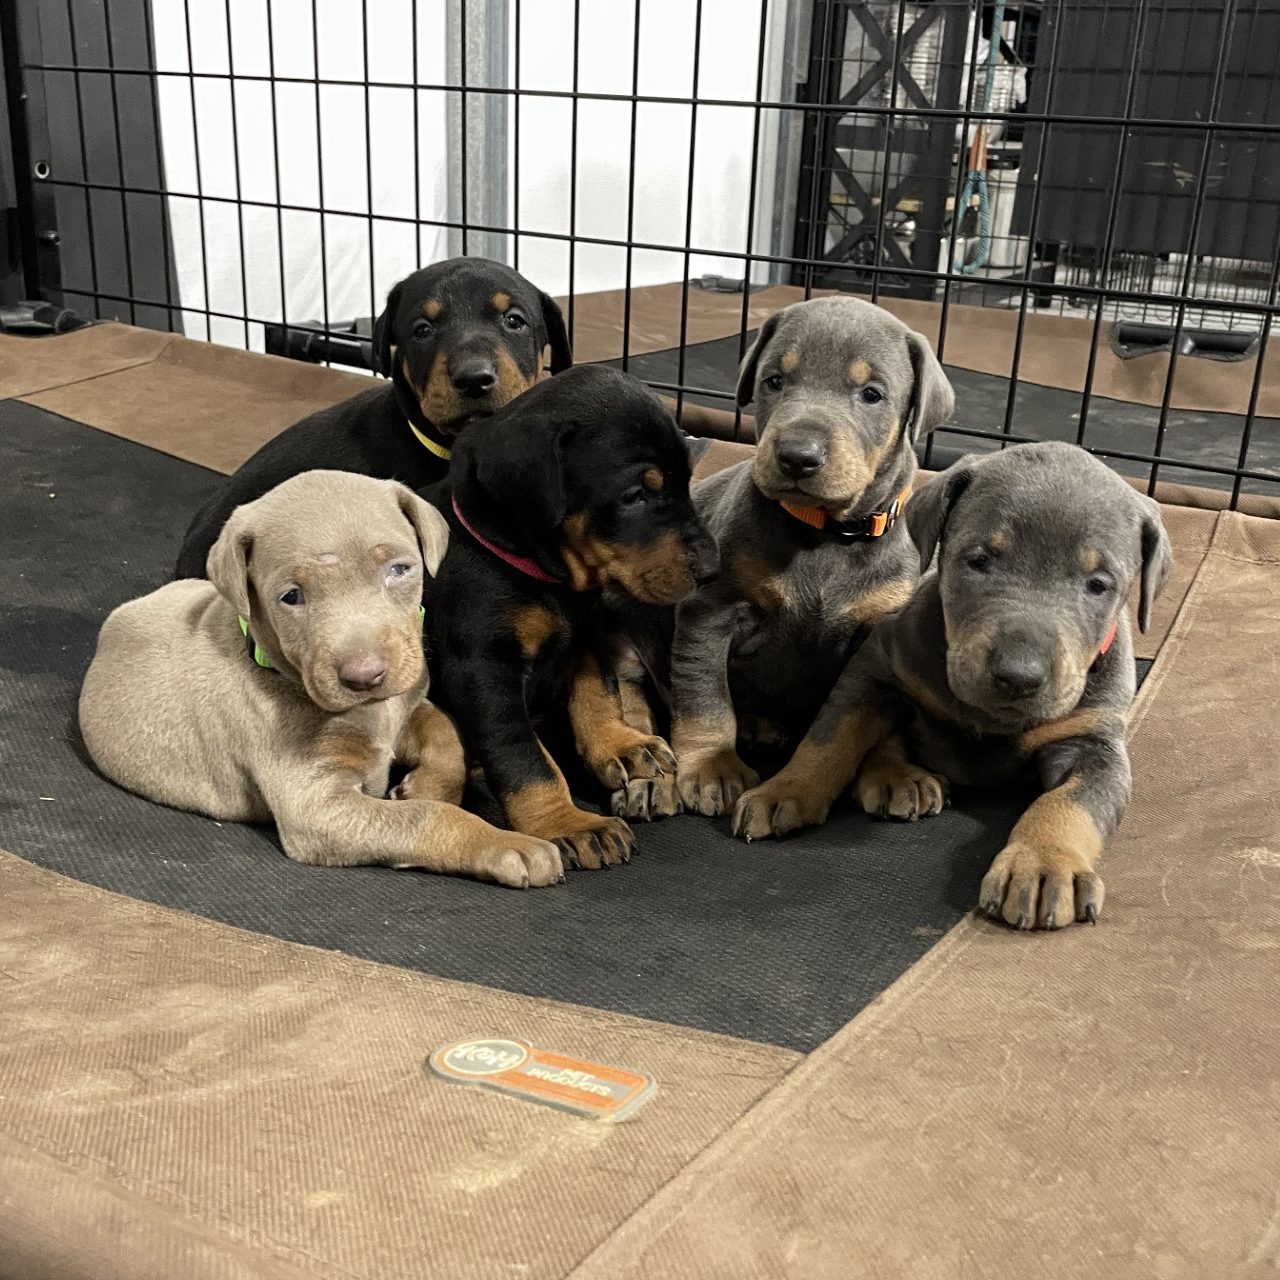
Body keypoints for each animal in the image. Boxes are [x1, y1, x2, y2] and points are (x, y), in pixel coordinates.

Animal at [82, 471, 562, 889]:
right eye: (291, 596)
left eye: (400, 569)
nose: (365, 677)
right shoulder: (316, 805)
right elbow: (426, 816)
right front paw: (510, 845)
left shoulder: (408, 702)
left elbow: (445, 730)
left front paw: (427, 786)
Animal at [421, 364, 719, 869]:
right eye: (635, 495)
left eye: (684, 485)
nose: (710, 570)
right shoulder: (483, 668)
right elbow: (525, 760)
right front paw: (568, 824)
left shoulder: (587, 634)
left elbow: (599, 693)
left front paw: (623, 744)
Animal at [661, 296, 954, 818]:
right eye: (774, 381)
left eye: (872, 394)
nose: (798, 456)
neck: (829, 534)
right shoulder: (709, 610)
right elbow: (705, 698)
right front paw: (713, 767)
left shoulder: (880, 637)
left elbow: (871, 721)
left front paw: (894, 772)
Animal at [731, 441, 1173, 930]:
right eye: (977, 560)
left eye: (1099, 585)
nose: (1018, 675)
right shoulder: (876, 665)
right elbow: (830, 738)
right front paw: (786, 789)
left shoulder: (1093, 743)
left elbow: (1068, 803)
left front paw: (1042, 863)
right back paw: (899, 778)